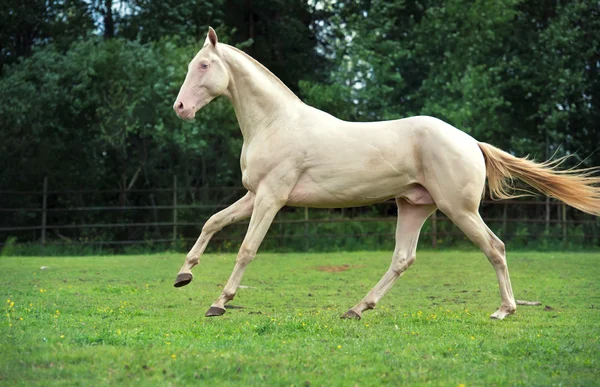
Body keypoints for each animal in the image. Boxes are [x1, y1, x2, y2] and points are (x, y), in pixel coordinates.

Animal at [170, 27, 600, 322]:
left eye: (204, 65)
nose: (180, 108)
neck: (276, 123)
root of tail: (471, 142)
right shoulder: (253, 195)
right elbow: (212, 222)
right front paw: (183, 275)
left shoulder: (272, 197)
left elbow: (246, 249)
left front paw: (218, 303)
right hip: (414, 207)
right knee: (403, 259)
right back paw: (358, 308)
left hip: (459, 210)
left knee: (495, 248)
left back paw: (504, 310)